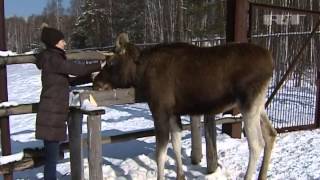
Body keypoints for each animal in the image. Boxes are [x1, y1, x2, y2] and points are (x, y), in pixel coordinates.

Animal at [93, 33, 278, 180]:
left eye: (110, 62)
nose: (96, 83)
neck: (139, 74)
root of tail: (271, 62)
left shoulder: (159, 109)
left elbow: (160, 152)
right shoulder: (174, 112)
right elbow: (176, 143)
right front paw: (180, 175)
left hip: (248, 102)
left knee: (256, 144)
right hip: (259, 104)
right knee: (271, 133)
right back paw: (262, 175)